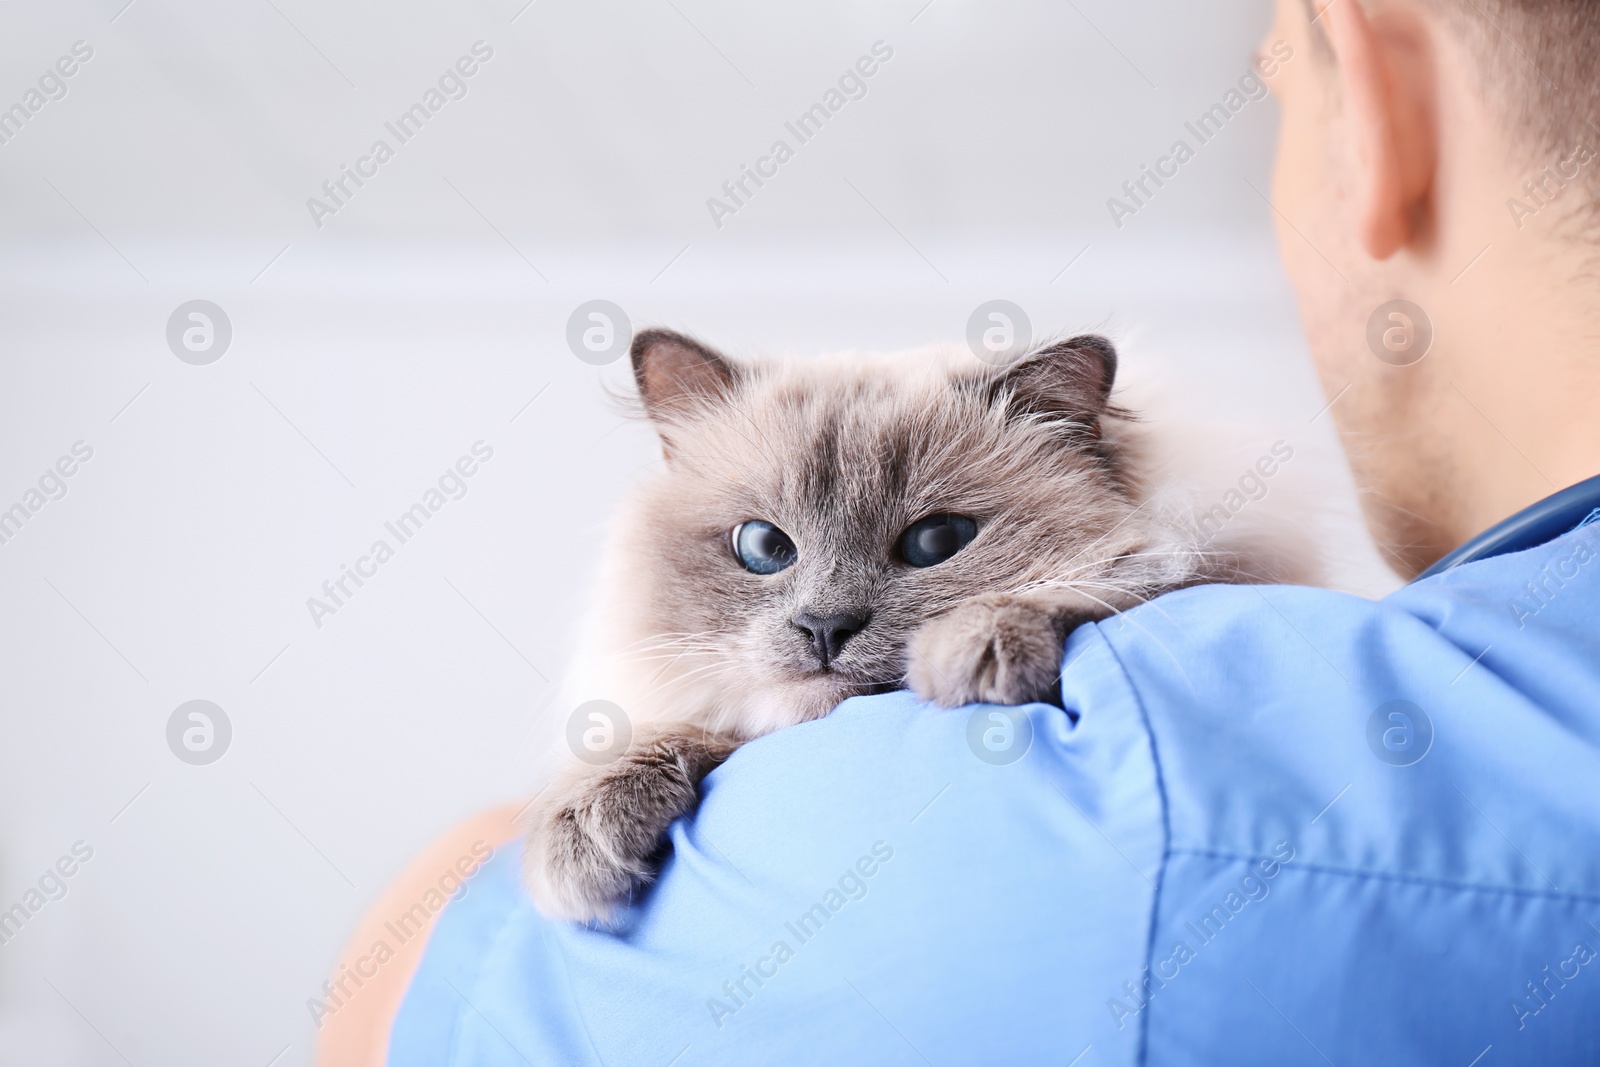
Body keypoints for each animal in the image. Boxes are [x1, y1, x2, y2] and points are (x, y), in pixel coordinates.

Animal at [524, 329, 1235, 921]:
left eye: (936, 541)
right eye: (764, 548)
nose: (824, 627)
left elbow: (1102, 578)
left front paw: (970, 652)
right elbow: (672, 733)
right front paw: (579, 833)